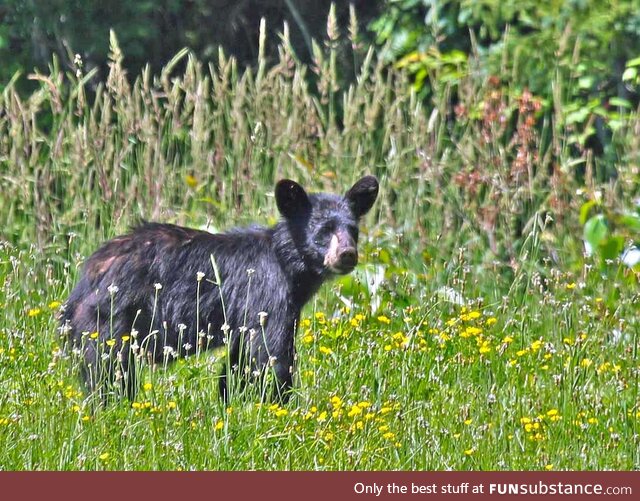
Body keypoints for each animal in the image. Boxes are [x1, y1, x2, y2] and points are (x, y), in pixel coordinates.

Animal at [58, 176, 380, 402]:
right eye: (323, 231)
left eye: (353, 230)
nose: (347, 254)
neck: (286, 262)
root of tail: (83, 282)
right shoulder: (268, 293)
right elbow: (271, 354)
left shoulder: (246, 316)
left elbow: (238, 363)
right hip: (110, 319)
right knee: (108, 371)